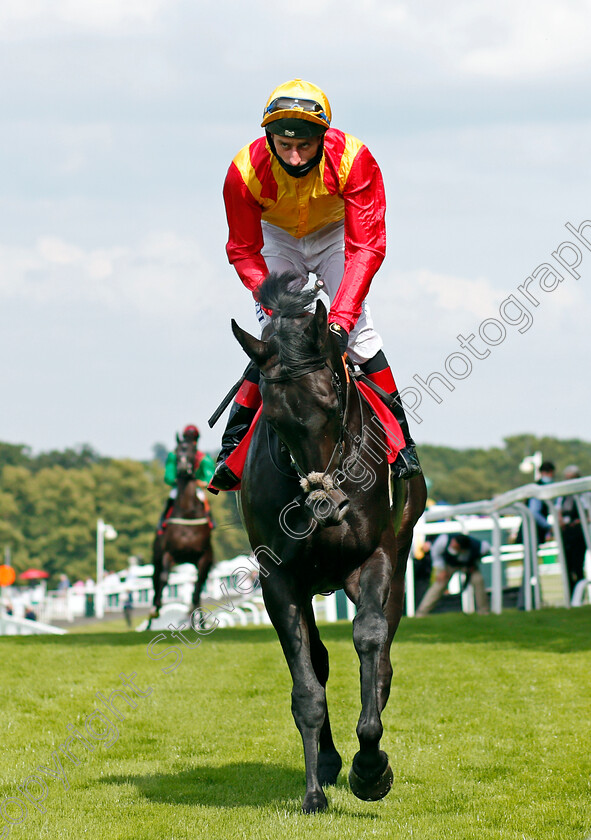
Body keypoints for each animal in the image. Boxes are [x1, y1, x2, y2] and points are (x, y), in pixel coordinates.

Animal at [149, 440, 216, 624]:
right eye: (178, 452)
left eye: (193, 452)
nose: (183, 467)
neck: (187, 513)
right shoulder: (168, 553)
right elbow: (164, 578)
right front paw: (157, 607)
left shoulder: (204, 557)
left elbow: (197, 587)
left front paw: (196, 615)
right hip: (156, 558)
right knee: (156, 580)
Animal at [231, 274, 426, 812]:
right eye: (273, 421)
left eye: (334, 404)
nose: (325, 508)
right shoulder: (279, 577)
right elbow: (307, 685)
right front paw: (315, 788)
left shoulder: (376, 556)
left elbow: (370, 638)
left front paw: (372, 765)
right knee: (319, 661)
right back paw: (330, 759)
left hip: (400, 553)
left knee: (382, 653)